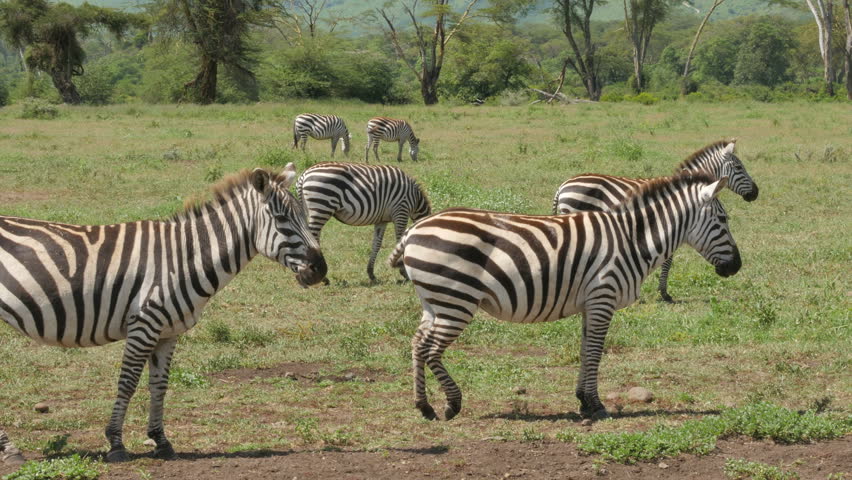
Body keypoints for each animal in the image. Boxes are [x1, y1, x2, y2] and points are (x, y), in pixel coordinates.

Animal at [0, 164, 326, 463]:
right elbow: (128, 383)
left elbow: (159, 385)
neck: (183, 258)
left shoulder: (168, 332)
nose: (320, 270)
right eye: (282, 219)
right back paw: (11, 451)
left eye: (304, 215)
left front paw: (161, 441)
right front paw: (116, 443)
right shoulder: (144, 325)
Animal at [296, 161, 431, 284]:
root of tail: (305, 174)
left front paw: (371, 273)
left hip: (313, 210)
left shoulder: (382, 220)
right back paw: (323, 277)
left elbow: (377, 244)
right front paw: (404, 272)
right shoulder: (401, 211)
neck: (414, 199)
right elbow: (400, 241)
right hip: (321, 207)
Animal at [388, 170, 740, 421]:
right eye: (723, 220)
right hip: (456, 300)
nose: (736, 266)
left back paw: (424, 407)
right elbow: (596, 352)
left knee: (418, 344)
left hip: (435, 301)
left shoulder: (591, 303)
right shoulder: (603, 297)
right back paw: (452, 404)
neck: (631, 239)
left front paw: (583, 400)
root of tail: (415, 230)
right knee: (432, 349)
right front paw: (596, 405)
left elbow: (585, 351)